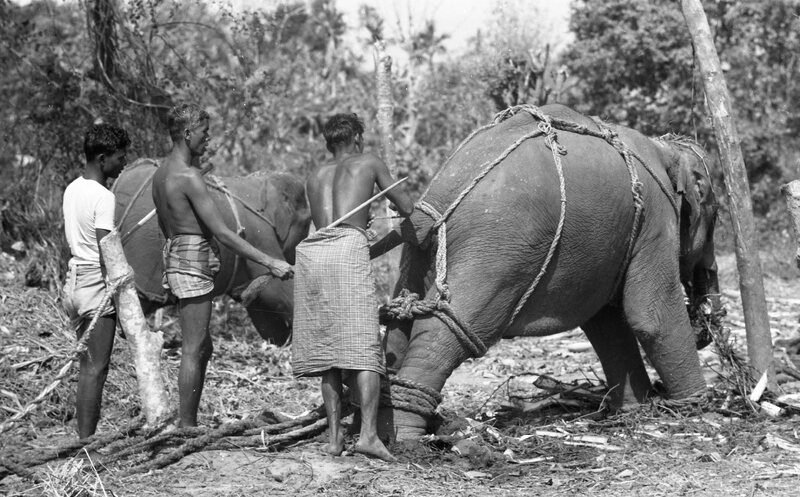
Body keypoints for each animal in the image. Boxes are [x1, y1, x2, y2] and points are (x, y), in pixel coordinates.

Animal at [378, 104, 721, 440]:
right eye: (717, 215)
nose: (705, 330)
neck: (663, 149)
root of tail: (434, 199)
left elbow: (607, 324)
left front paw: (634, 411)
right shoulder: (657, 218)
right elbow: (650, 316)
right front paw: (697, 409)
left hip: (423, 252)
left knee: (401, 325)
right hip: (497, 247)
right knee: (448, 327)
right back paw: (408, 439)